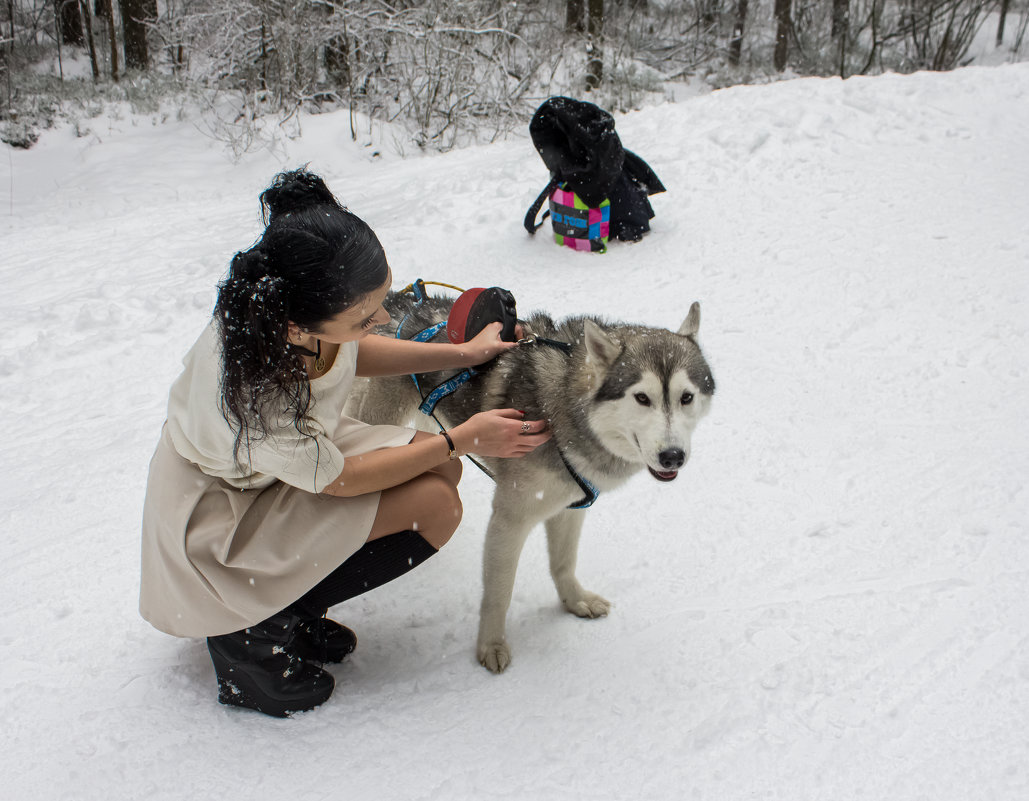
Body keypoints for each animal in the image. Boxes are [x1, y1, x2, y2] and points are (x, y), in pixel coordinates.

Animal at [345, 290, 716, 671]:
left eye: (686, 397)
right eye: (642, 398)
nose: (672, 456)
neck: (560, 410)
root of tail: (402, 303)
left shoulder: (570, 505)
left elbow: (563, 563)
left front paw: (574, 601)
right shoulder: (510, 519)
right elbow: (499, 593)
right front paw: (491, 645)